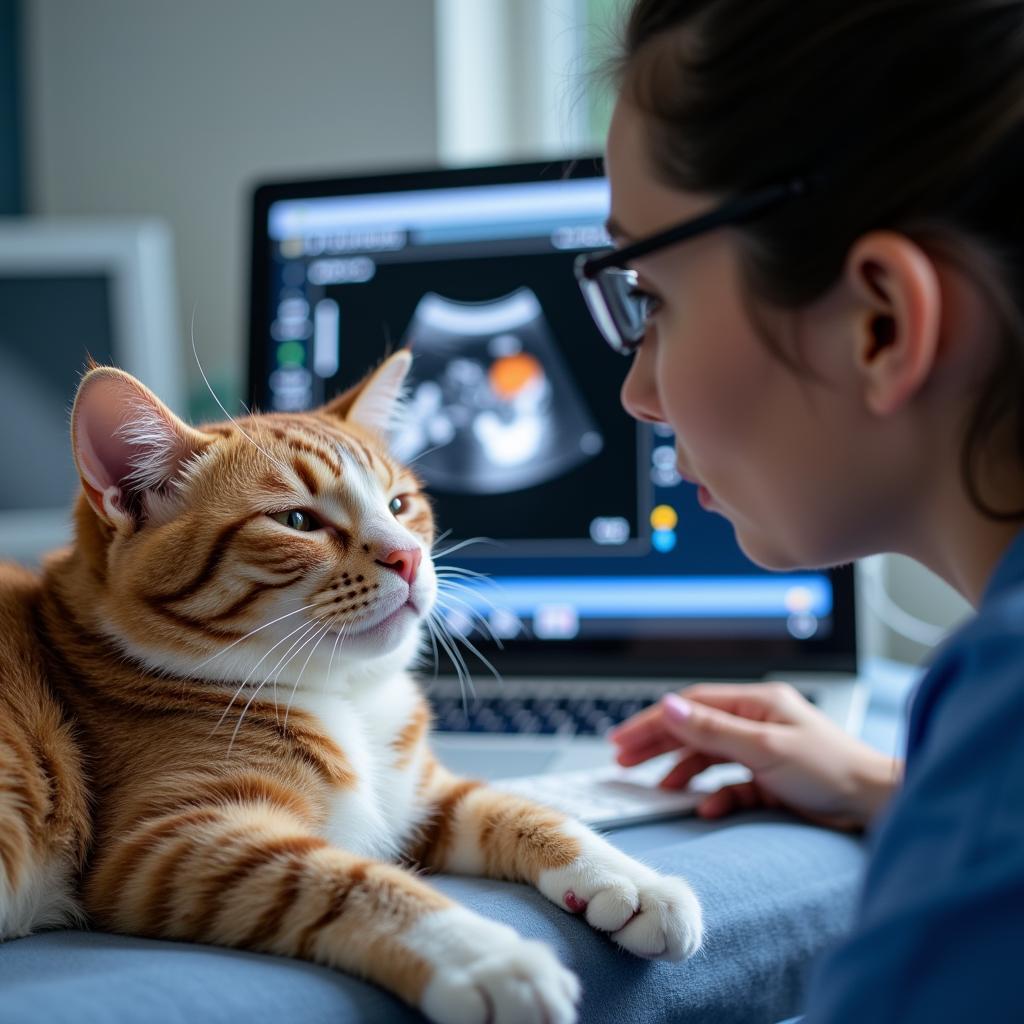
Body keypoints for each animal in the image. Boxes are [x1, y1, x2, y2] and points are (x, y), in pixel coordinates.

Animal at [0, 354, 704, 1024]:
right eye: (297, 520)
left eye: (398, 505)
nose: (408, 557)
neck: (347, 697)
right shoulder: (167, 842)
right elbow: (348, 881)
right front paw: (486, 956)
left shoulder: (420, 797)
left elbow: (521, 809)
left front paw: (631, 879)